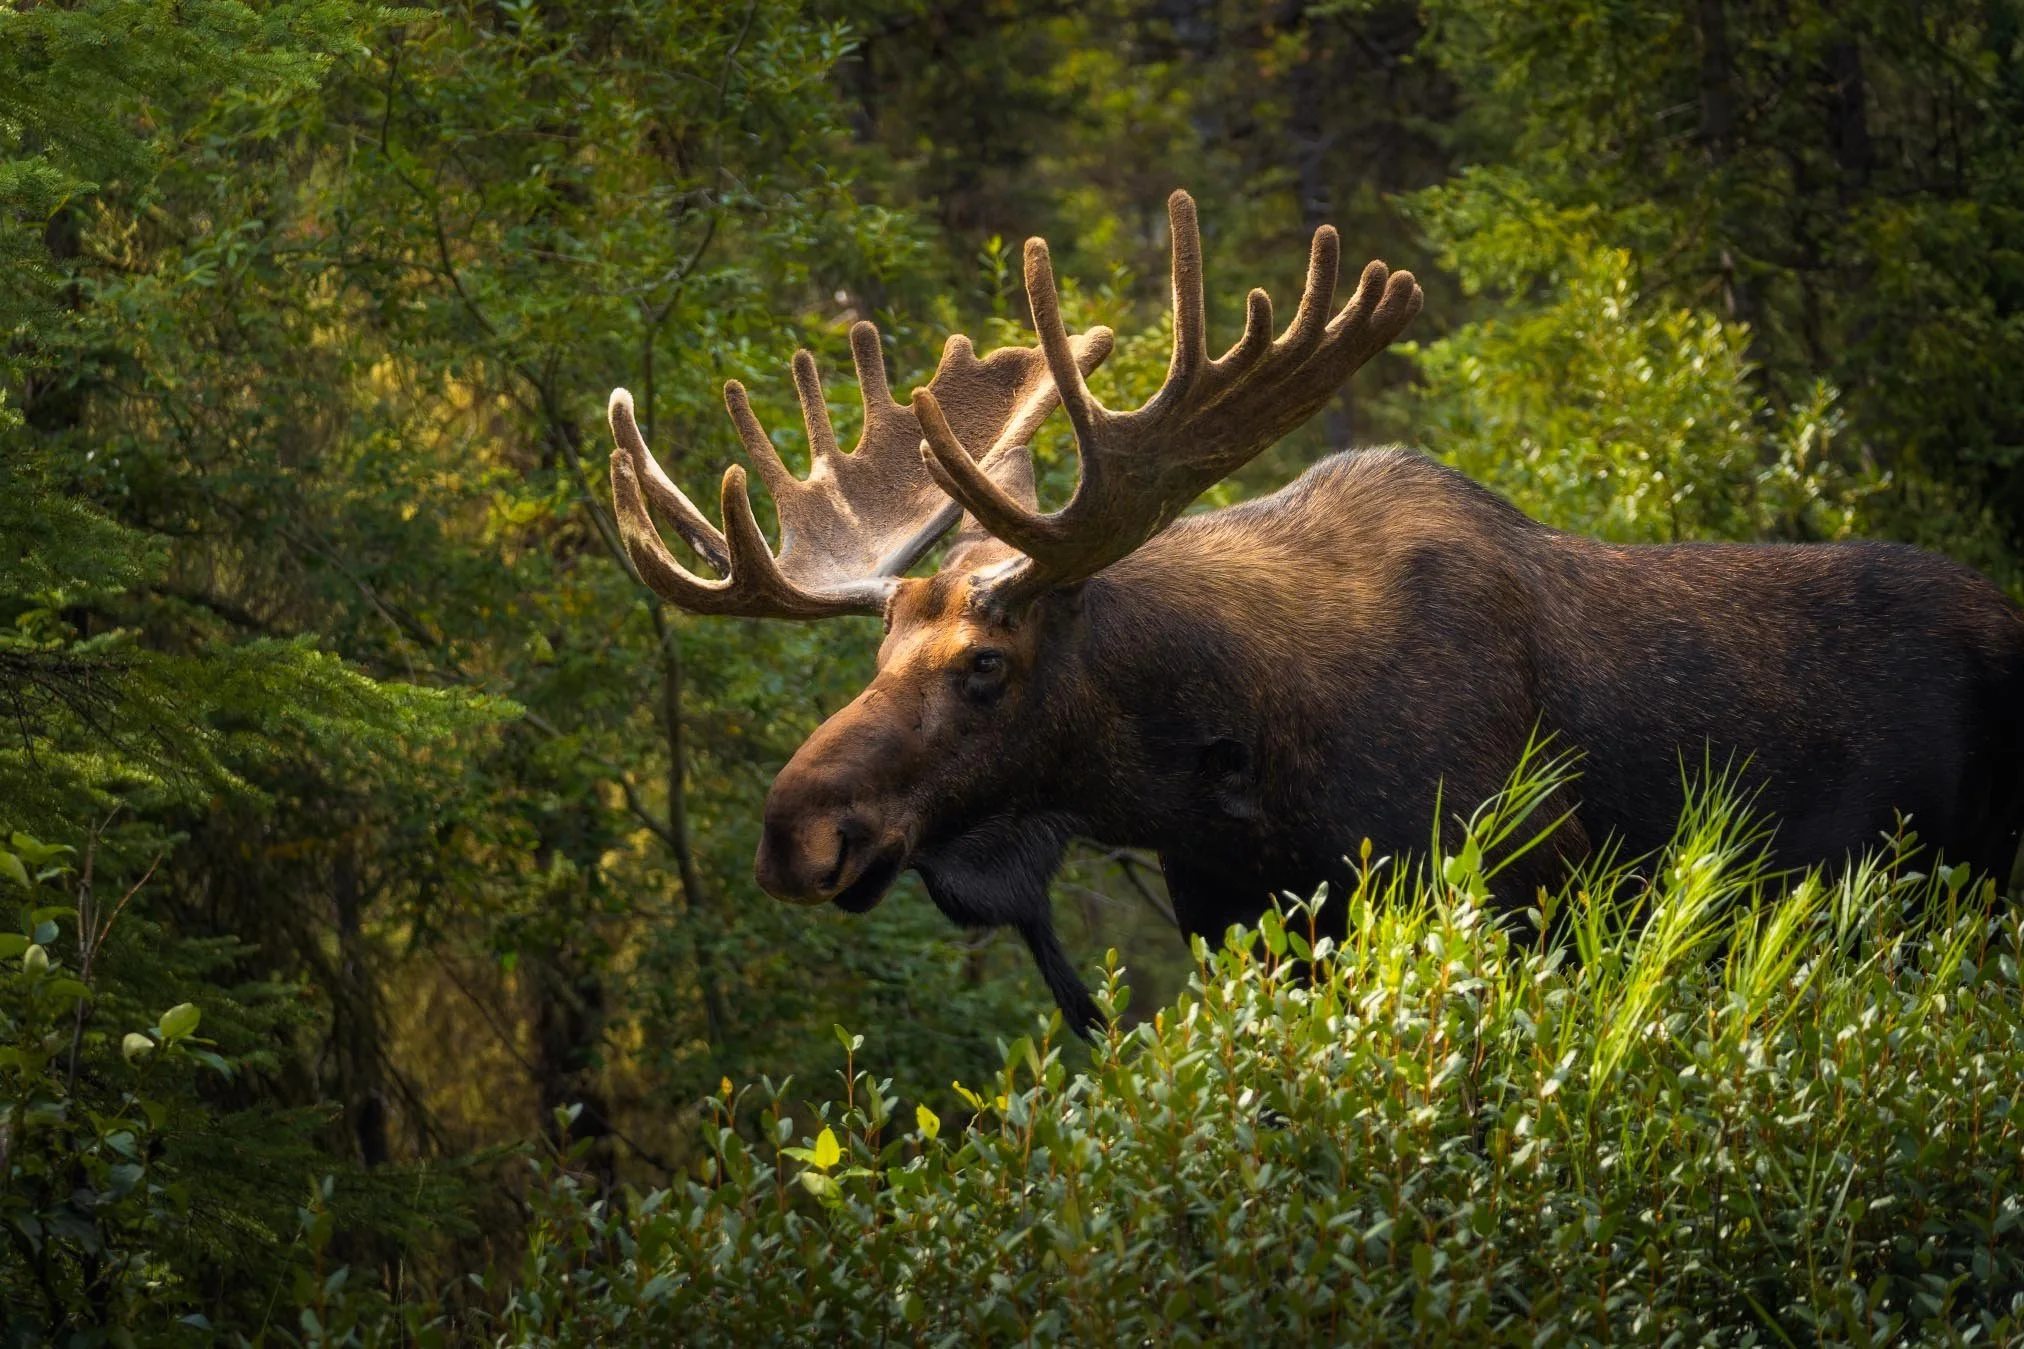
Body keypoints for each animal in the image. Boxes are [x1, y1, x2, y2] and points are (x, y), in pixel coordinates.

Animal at [605, 191, 2024, 1033]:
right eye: (878, 643)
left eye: (985, 664)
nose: (796, 832)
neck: (1223, 767)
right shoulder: (1241, 930)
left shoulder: (1519, 893)